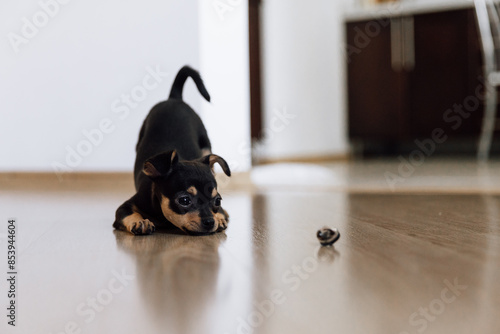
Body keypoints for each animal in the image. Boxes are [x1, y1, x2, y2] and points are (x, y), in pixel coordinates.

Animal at [113, 65, 230, 236]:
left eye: (218, 200)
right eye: (184, 200)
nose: (210, 221)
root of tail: (174, 99)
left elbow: (220, 212)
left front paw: (220, 217)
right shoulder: (124, 208)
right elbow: (129, 214)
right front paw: (140, 221)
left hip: (206, 146)